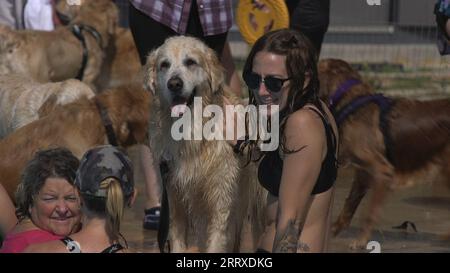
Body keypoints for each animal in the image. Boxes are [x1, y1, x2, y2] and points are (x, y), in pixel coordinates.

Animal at [316, 58, 450, 248]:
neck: (350, 100)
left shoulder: (382, 171)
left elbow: (369, 213)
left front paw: (360, 241)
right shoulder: (363, 174)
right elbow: (348, 207)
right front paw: (333, 231)